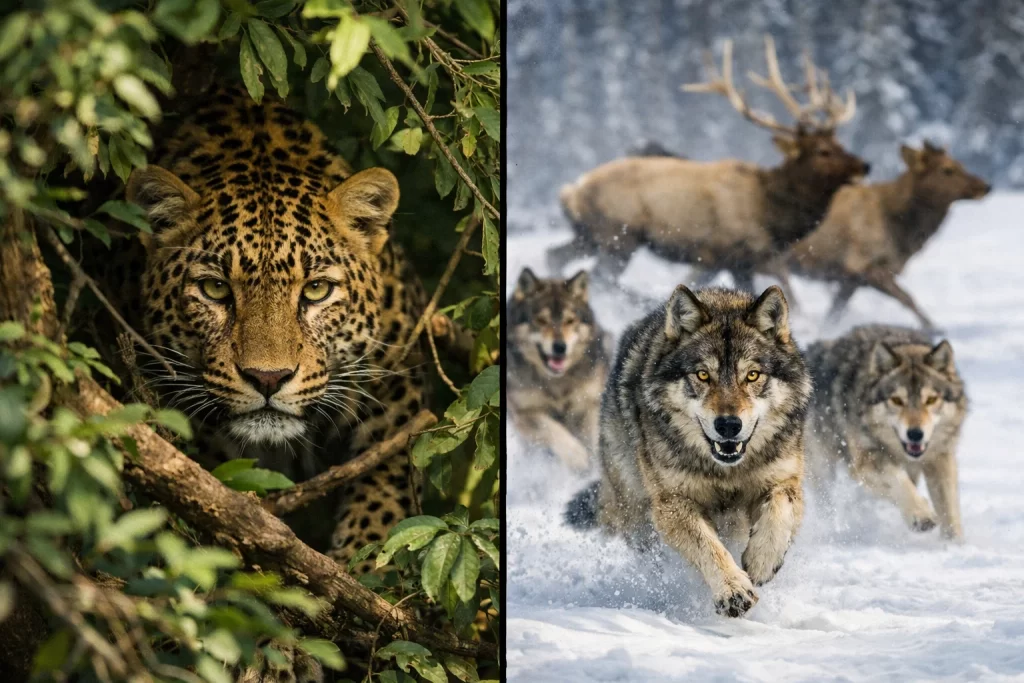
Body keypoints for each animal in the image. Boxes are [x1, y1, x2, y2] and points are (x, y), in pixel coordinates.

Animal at [508, 268, 610, 471]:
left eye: (570, 321)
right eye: (541, 320)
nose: (560, 347)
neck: (557, 382)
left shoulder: (591, 401)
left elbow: (595, 435)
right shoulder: (524, 411)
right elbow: (551, 428)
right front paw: (576, 455)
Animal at [566, 285, 811, 617]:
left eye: (752, 375)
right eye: (703, 375)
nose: (729, 425)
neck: (726, 471)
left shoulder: (784, 480)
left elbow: (779, 511)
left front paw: (762, 562)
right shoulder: (673, 503)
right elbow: (709, 548)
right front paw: (733, 590)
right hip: (636, 512)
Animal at [804, 325, 967, 539]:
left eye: (931, 400)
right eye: (896, 400)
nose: (916, 434)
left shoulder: (940, 458)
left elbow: (950, 512)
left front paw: (955, 544)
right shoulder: (866, 461)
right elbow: (899, 481)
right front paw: (921, 515)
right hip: (821, 468)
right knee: (824, 504)